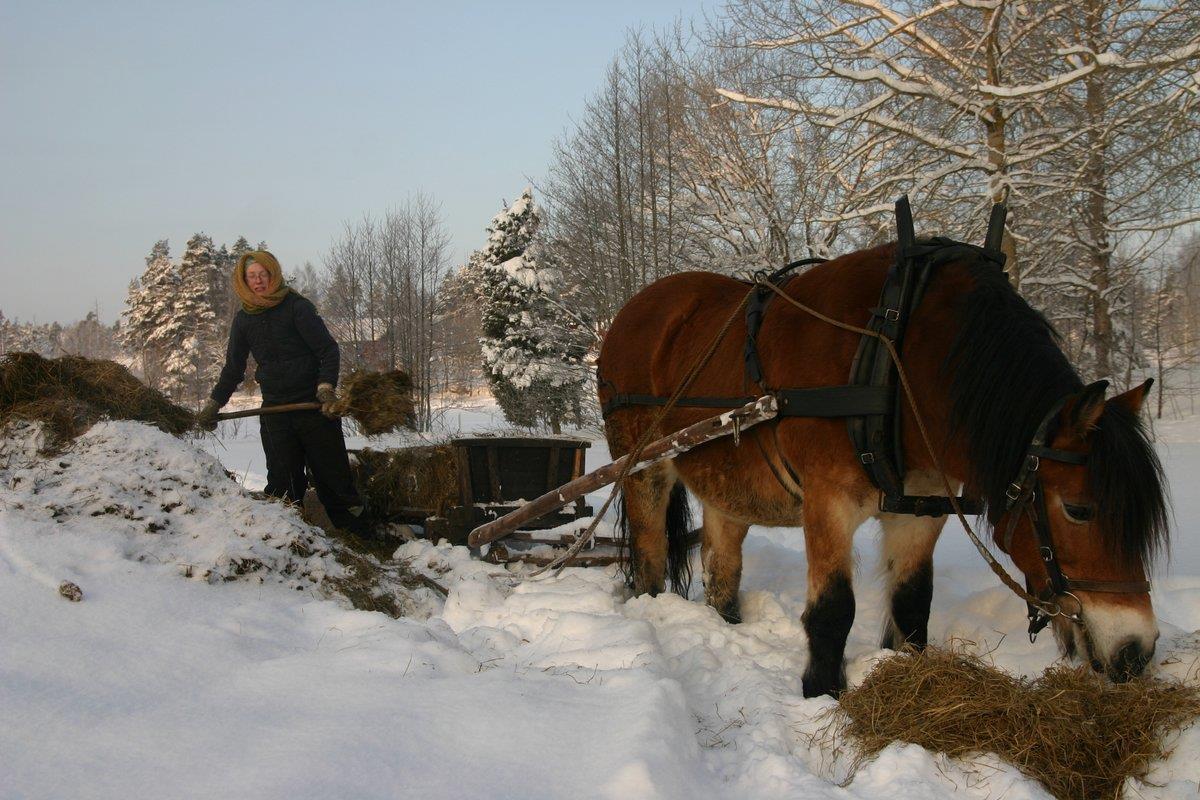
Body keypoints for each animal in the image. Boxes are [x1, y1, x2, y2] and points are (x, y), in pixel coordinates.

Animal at [595, 241, 1166, 695]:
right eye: (1078, 509)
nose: (1137, 651)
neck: (898, 359)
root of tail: (635, 309)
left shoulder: (921, 508)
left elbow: (913, 604)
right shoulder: (827, 501)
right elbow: (832, 611)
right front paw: (823, 693)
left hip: (727, 482)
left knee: (722, 568)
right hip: (643, 467)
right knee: (649, 557)